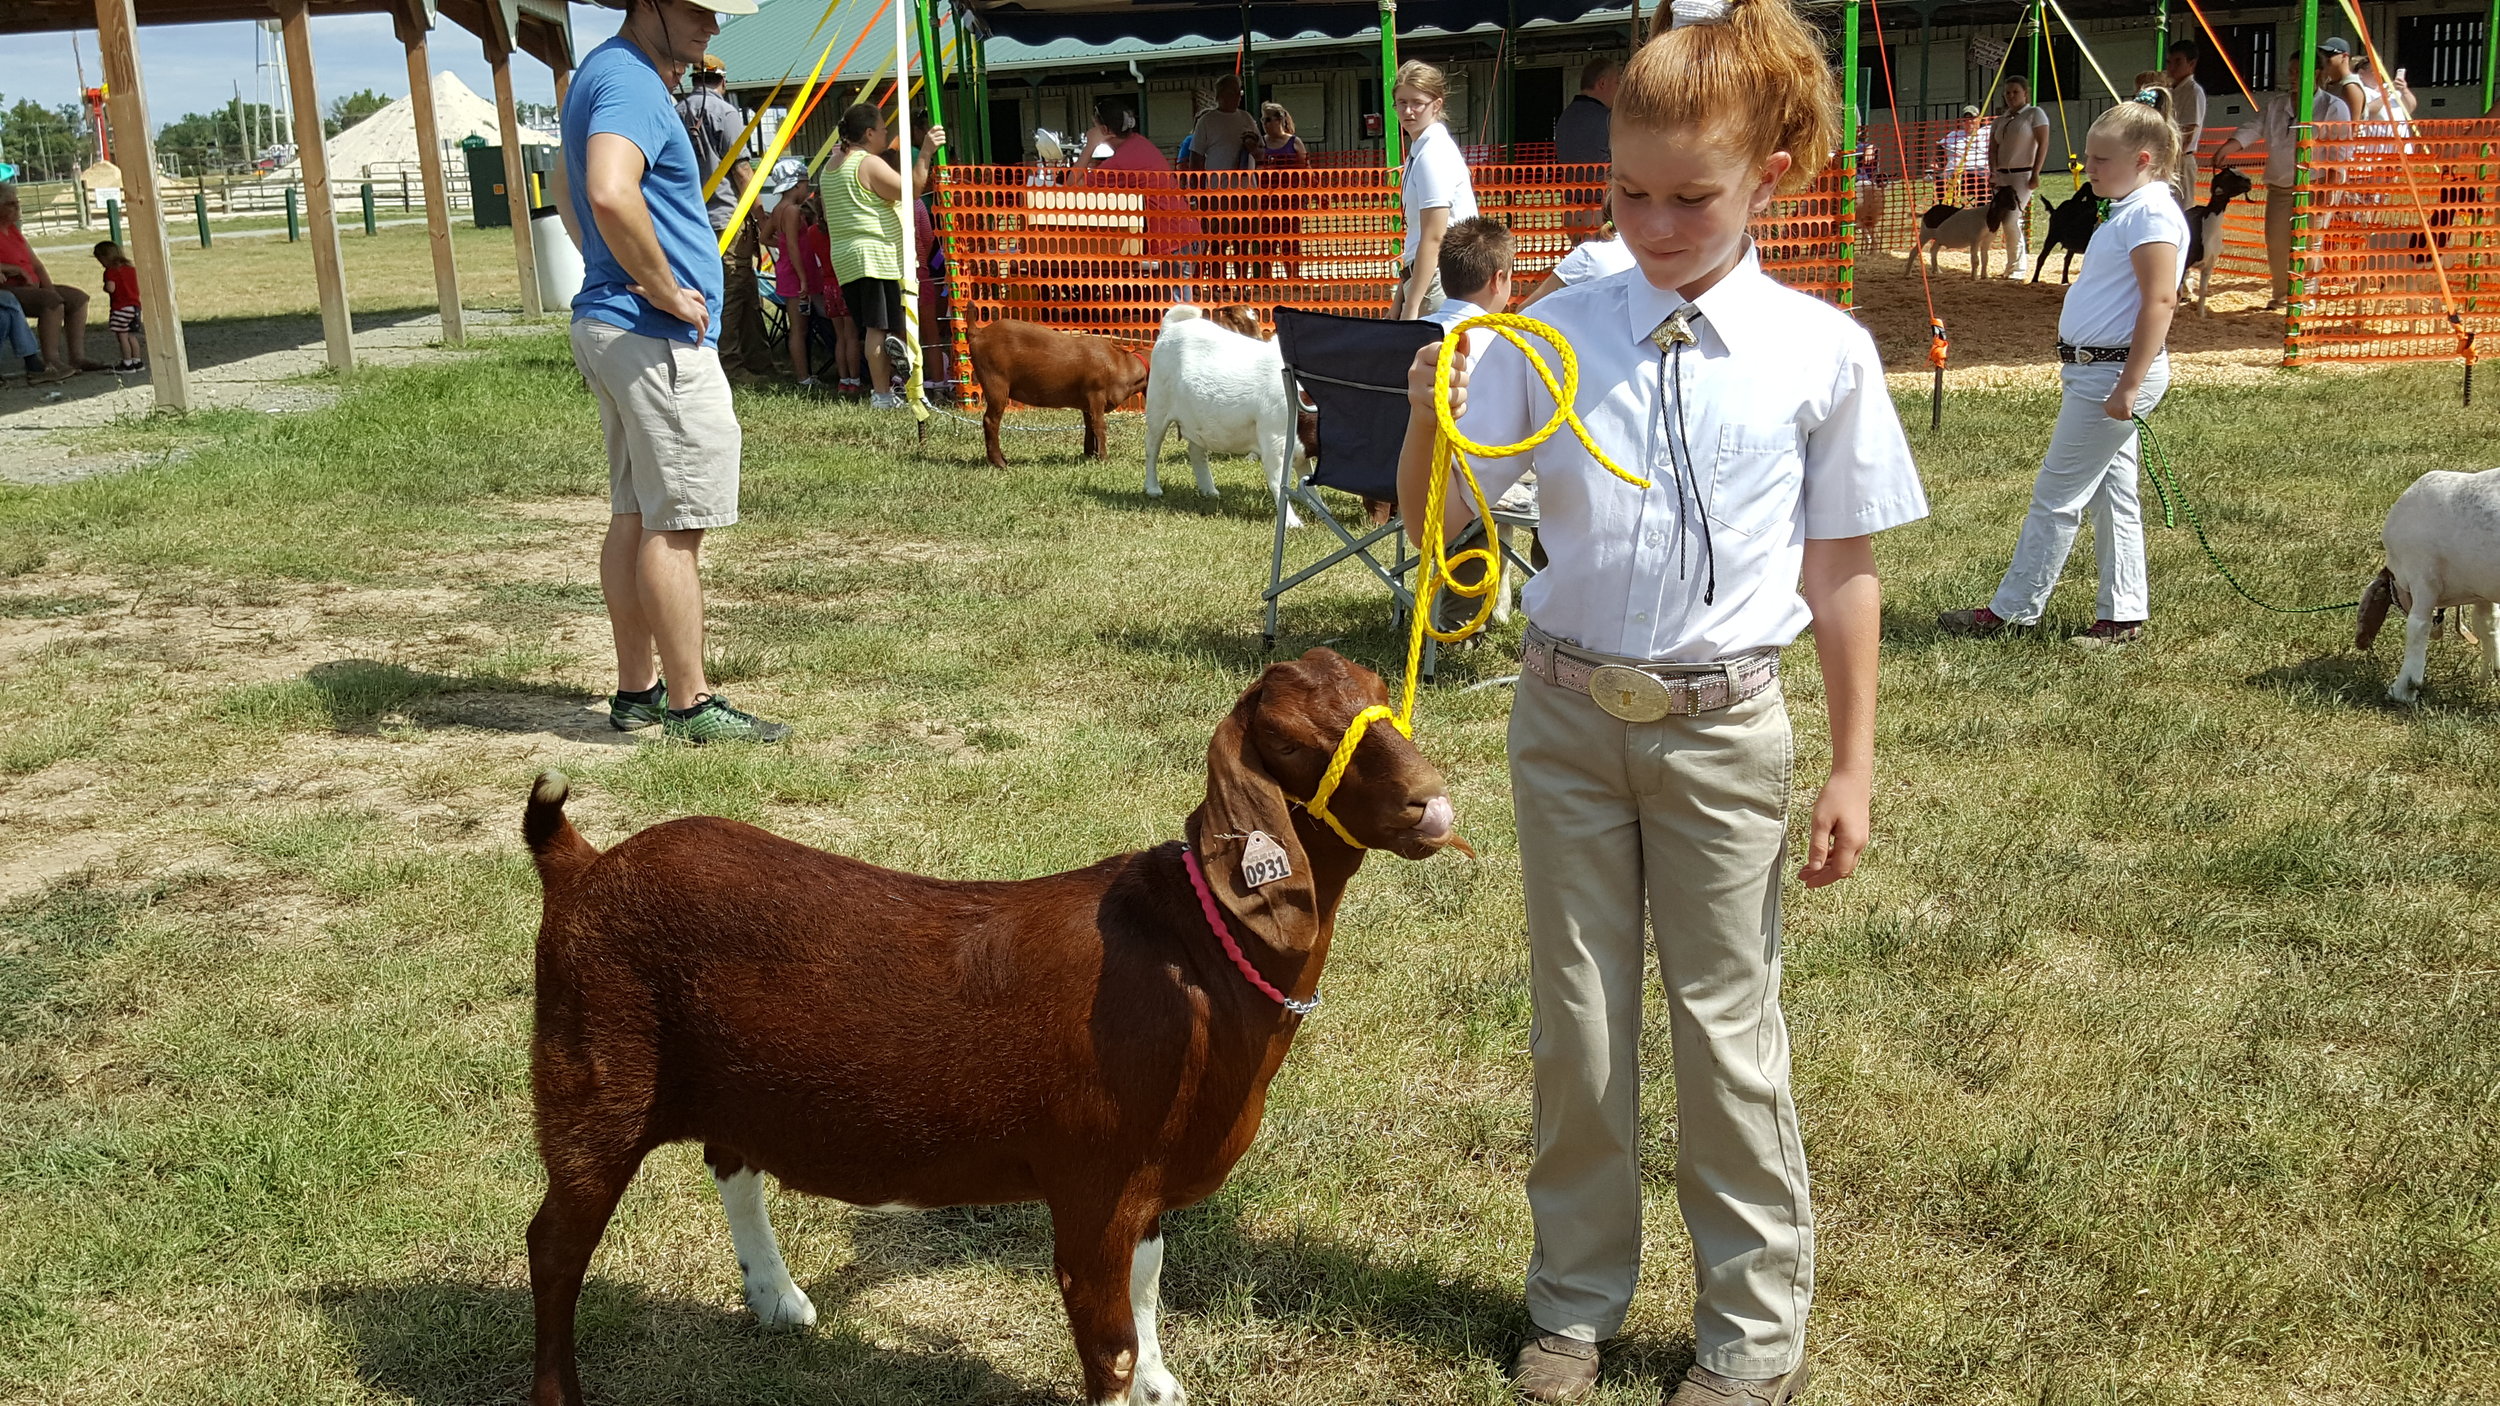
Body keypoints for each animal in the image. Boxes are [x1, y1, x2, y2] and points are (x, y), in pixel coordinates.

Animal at [530, 650, 1460, 1400]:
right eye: (1293, 741)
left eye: (1386, 697)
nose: (1431, 805)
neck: (1194, 949)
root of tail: (580, 862)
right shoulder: (1095, 1185)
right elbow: (1110, 1344)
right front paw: (1138, 1380)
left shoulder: (1148, 1184)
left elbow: (1151, 1281)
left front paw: (1164, 1384)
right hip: (592, 1080)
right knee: (554, 1247)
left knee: (732, 1162)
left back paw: (778, 1299)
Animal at [965, 315, 1150, 467]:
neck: (1122, 364)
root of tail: (978, 333)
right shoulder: (1096, 394)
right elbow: (1099, 426)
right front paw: (1104, 459)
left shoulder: (1087, 404)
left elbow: (1089, 426)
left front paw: (1089, 455)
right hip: (995, 384)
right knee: (990, 421)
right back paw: (1000, 463)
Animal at [1145, 303, 1310, 522]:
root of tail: (1170, 327)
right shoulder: (1275, 435)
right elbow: (1278, 479)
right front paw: (1292, 521)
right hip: (1157, 406)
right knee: (1152, 446)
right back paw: (1153, 488)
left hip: (1197, 418)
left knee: (1196, 450)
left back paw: (1209, 490)